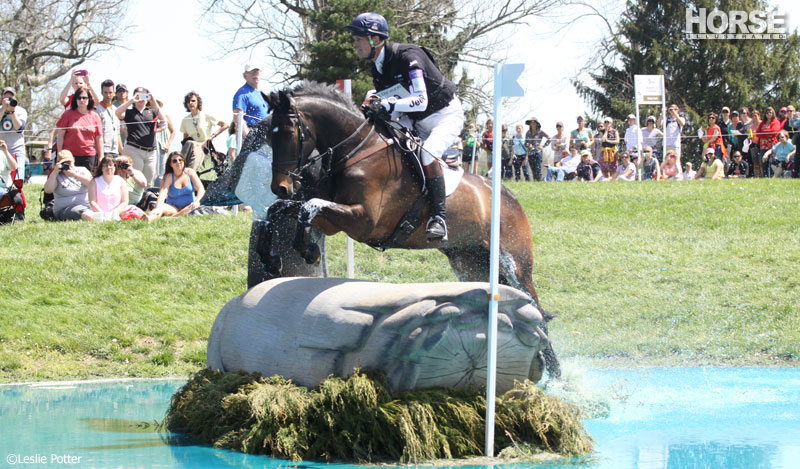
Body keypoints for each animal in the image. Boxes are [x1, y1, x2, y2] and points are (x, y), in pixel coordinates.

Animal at [266, 81, 560, 376]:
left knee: (537, 309)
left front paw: (308, 250)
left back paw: (554, 374)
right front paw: (274, 257)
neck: (358, 150)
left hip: (515, 265)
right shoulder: (334, 220)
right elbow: (282, 209)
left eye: (290, 134)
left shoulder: (362, 221)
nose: (280, 187)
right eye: (269, 135)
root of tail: (510, 196)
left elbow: (308, 206)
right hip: (471, 262)